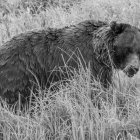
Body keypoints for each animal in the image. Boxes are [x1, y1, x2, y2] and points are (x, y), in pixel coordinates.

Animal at [0, 20, 140, 105]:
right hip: (19, 77)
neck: (101, 53)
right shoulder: (88, 66)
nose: (134, 68)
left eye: (139, 51)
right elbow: (96, 90)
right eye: (127, 48)